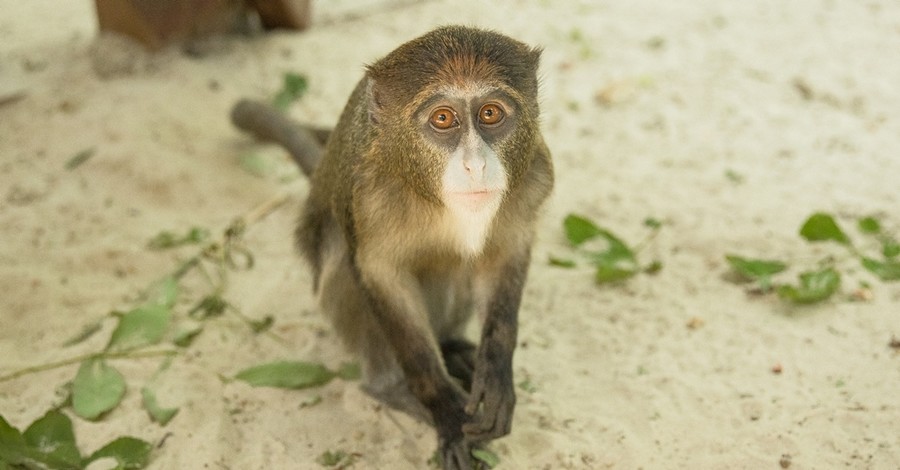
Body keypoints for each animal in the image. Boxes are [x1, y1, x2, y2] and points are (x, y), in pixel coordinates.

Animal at [232, 26, 552, 470]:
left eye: (490, 114)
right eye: (443, 118)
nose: (476, 165)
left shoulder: (533, 173)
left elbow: (501, 259)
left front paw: (496, 374)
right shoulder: (368, 195)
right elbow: (380, 275)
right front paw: (446, 411)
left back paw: (452, 346)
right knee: (342, 259)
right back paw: (391, 387)